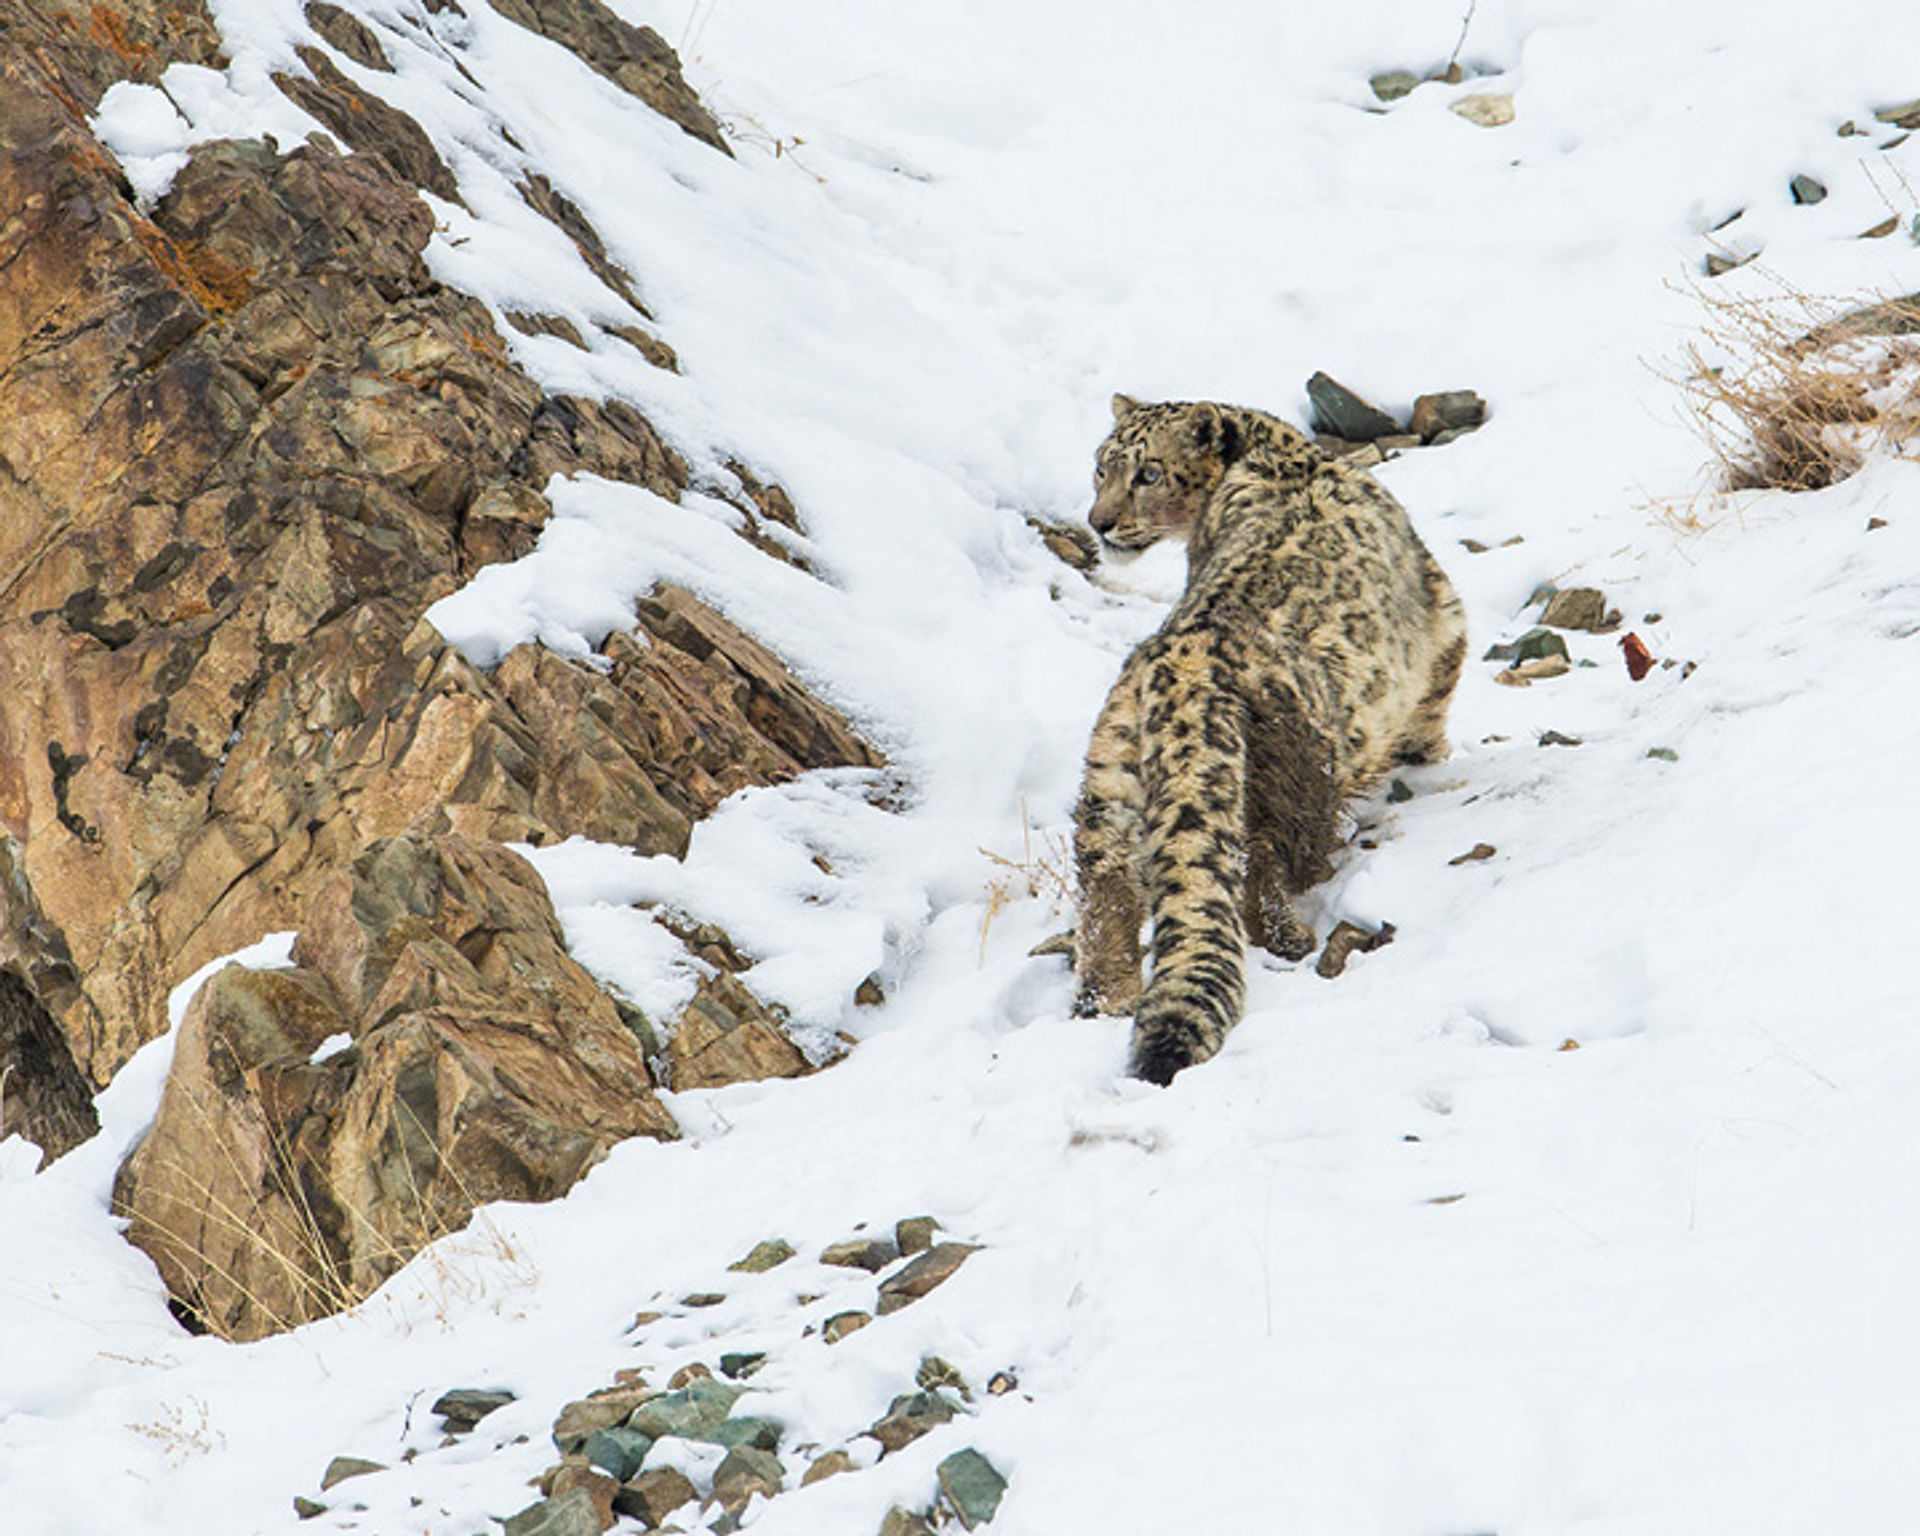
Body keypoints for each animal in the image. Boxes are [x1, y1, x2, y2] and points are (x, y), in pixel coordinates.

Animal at [1075, 389, 1459, 1082]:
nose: (1100, 522)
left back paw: (1106, 994)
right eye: (1102, 468)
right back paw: (1294, 934)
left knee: (1107, 884)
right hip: (1301, 767)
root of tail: (1181, 667)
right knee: (1264, 869)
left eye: (1146, 473)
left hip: (1109, 774)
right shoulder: (1445, 612)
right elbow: (1438, 693)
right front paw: (1432, 756)